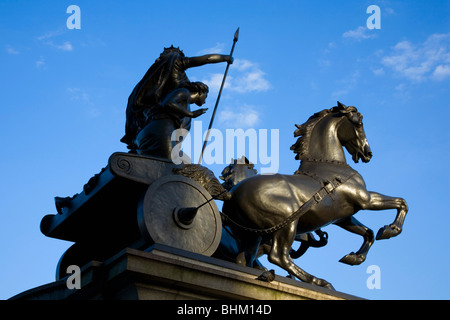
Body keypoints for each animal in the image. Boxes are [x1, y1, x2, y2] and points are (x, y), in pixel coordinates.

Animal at [221, 101, 408, 288]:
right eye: (359, 123)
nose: (367, 153)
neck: (330, 166)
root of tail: (231, 194)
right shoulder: (365, 200)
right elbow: (401, 202)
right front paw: (391, 230)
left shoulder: (343, 217)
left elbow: (368, 232)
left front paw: (354, 257)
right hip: (287, 223)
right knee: (278, 256)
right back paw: (319, 281)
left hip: (252, 235)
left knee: (244, 258)